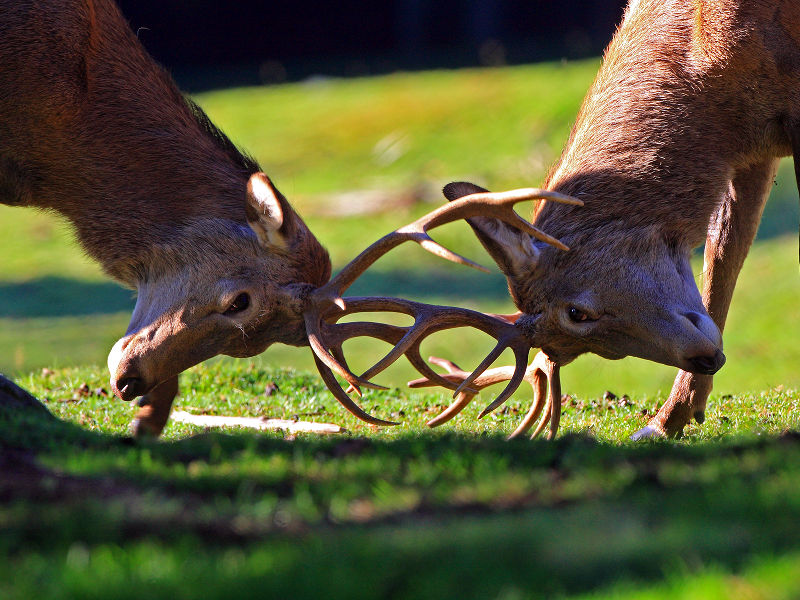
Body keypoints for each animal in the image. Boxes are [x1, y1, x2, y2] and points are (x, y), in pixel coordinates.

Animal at [406, 0, 800, 440]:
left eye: (576, 313)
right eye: (605, 353)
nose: (705, 358)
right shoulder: (754, 150)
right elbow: (723, 252)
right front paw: (667, 420)